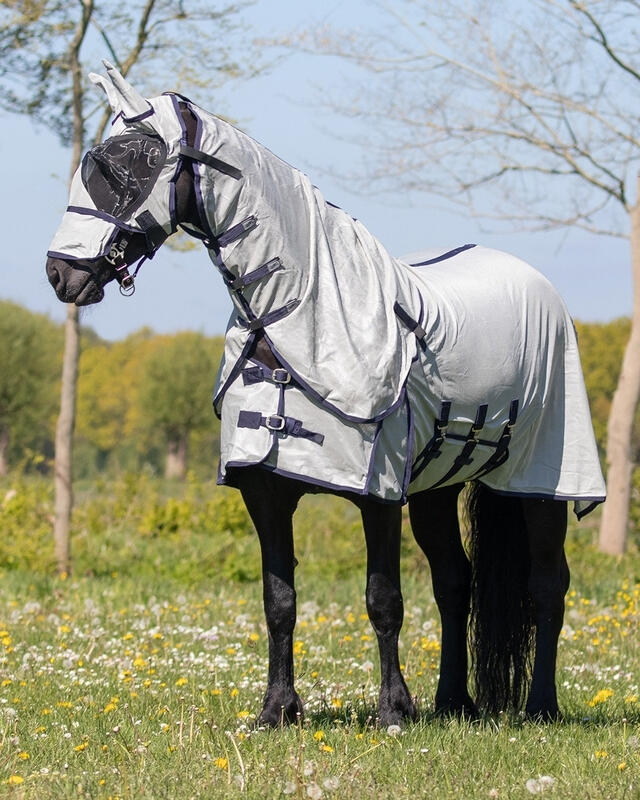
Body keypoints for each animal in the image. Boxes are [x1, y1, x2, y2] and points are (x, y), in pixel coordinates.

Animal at [46, 61, 605, 727]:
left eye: (129, 161)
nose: (60, 274)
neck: (302, 329)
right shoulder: (264, 492)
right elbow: (279, 600)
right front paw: (277, 710)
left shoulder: (377, 492)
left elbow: (383, 598)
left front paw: (392, 711)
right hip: (436, 488)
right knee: (454, 581)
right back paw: (452, 703)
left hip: (543, 480)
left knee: (548, 584)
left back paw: (539, 706)